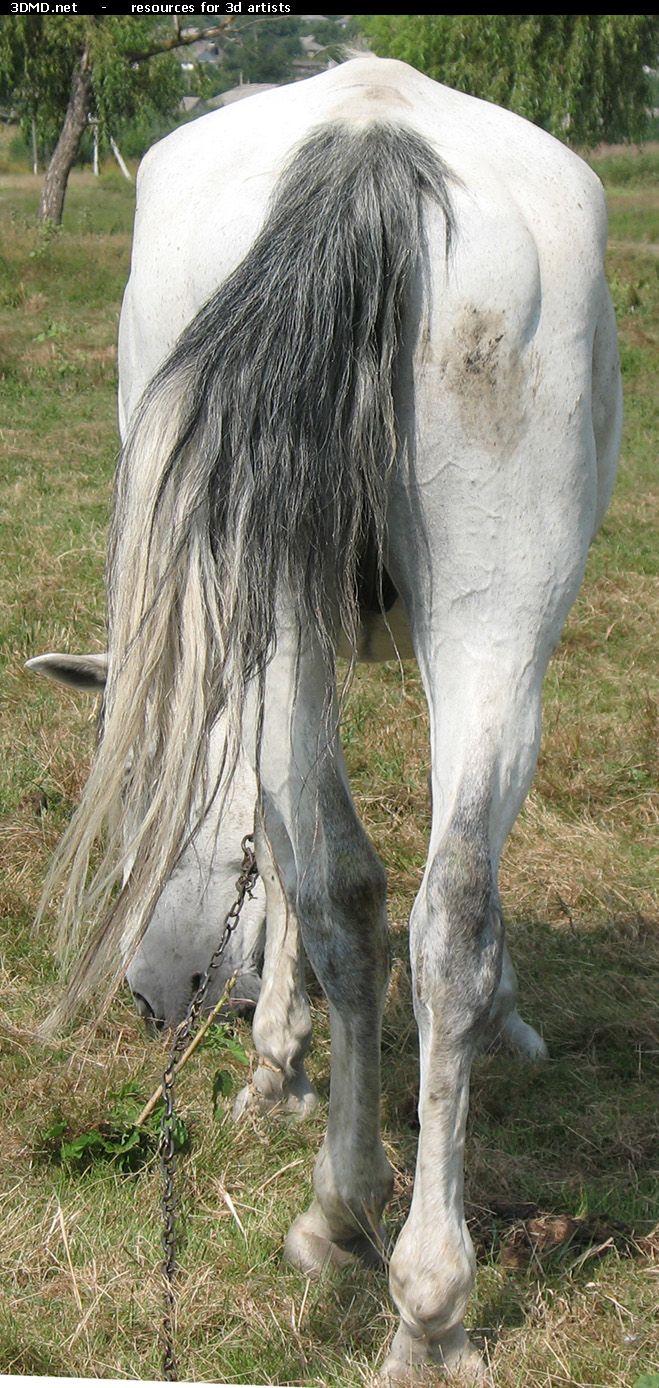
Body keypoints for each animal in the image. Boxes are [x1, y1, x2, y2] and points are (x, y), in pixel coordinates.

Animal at [33, 56, 621, 1388]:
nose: (158, 1001)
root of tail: (367, 134)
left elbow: (280, 846)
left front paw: (274, 1061)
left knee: (354, 883)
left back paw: (352, 1220)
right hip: (488, 613)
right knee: (429, 910)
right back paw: (419, 1288)